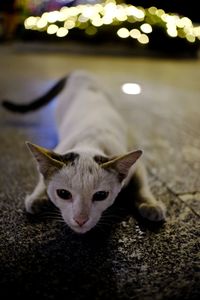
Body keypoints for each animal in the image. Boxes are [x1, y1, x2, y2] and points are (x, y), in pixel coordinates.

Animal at [2, 71, 166, 234]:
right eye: (63, 194)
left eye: (100, 195)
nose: (80, 220)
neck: (89, 141)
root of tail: (78, 72)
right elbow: (42, 179)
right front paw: (37, 197)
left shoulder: (136, 166)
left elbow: (141, 185)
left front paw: (150, 204)